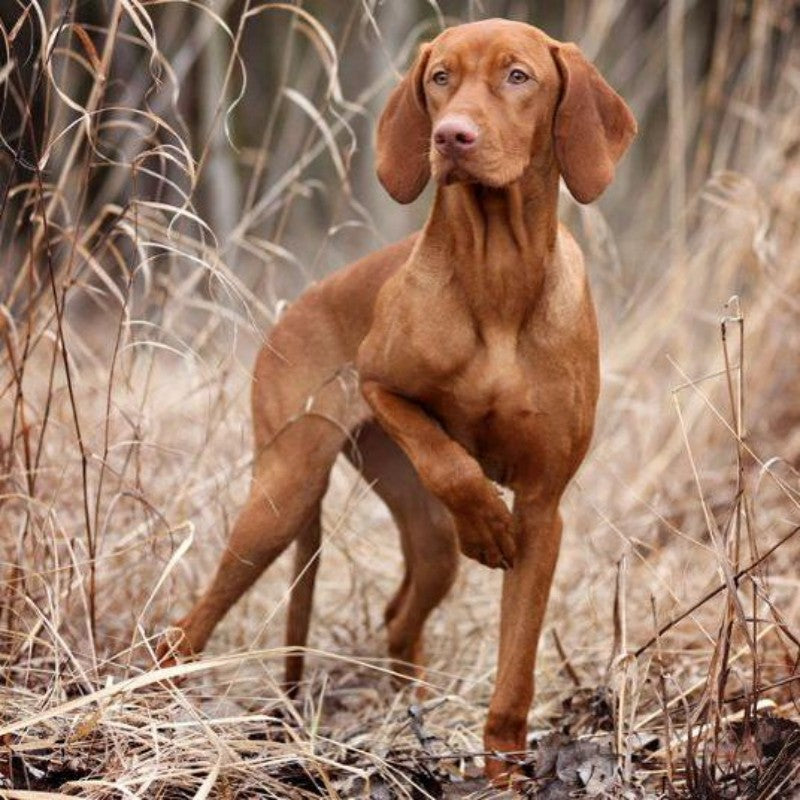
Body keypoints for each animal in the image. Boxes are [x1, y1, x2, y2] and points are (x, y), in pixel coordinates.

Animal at [159, 18, 636, 780]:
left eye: (519, 77)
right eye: (441, 78)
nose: (452, 136)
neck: (497, 274)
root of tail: (292, 310)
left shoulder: (542, 507)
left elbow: (516, 672)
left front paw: (504, 773)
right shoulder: (381, 385)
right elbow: (451, 460)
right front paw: (485, 520)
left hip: (424, 539)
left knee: (397, 619)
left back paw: (414, 717)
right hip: (285, 493)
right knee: (183, 630)